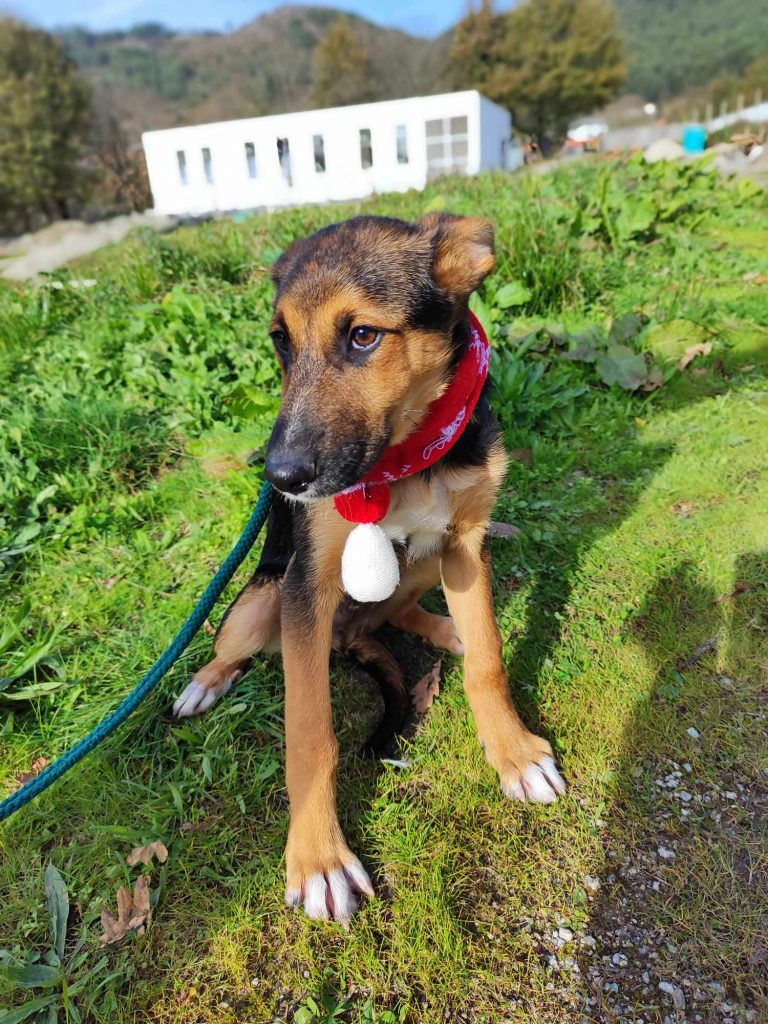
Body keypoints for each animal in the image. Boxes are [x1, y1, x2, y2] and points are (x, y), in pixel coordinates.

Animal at [173, 213, 566, 923]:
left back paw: (445, 630)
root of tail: (347, 639)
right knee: (233, 647)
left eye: (362, 336)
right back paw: (204, 683)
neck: (405, 457)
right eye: (281, 342)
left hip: (423, 563)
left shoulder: (466, 543)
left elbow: (490, 662)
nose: (278, 479)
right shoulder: (307, 585)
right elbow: (310, 731)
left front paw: (515, 752)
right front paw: (318, 858)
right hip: (263, 597)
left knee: (400, 610)